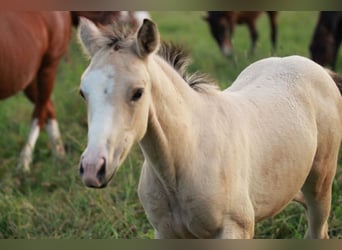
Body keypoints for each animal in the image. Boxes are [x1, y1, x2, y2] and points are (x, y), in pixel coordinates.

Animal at [0, 12, 72, 172]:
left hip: (48, 67)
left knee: (40, 112)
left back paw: (24, 165)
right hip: (28, 78)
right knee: (48, 107)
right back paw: (60, 158)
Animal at [77, 19, 342, 238]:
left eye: (138, 92)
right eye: (83, 93)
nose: (92, 168)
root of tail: (318, 68)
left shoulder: (235, 229)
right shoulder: (166, 233)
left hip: (320, 186)